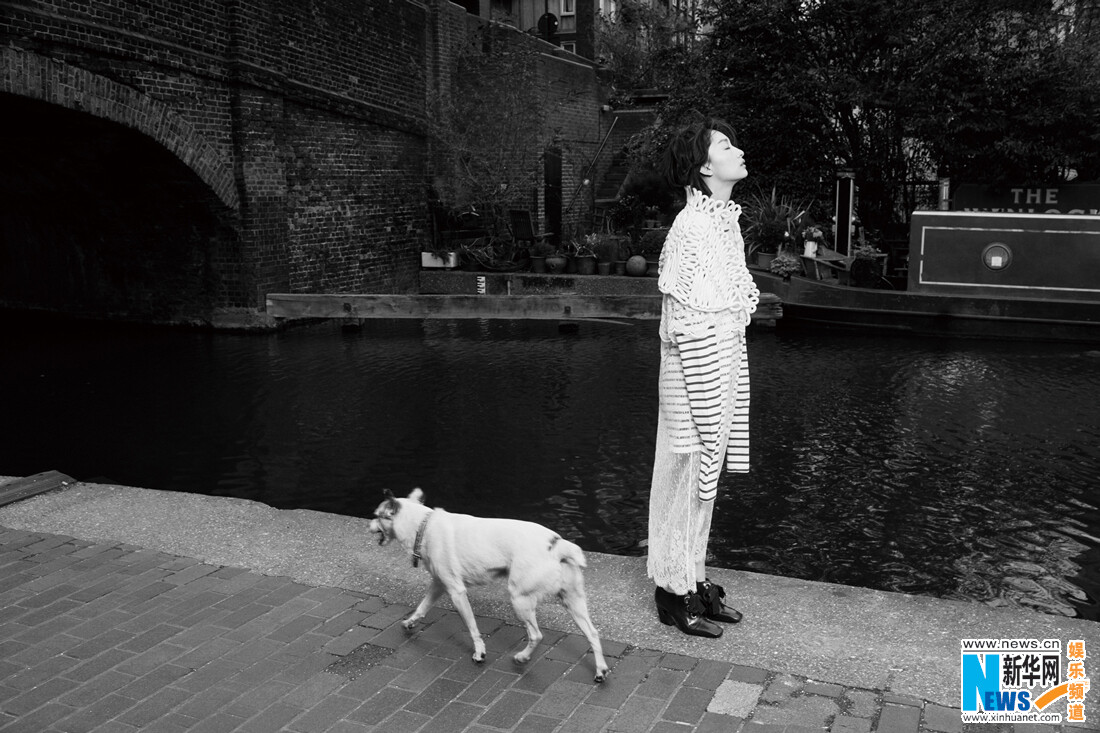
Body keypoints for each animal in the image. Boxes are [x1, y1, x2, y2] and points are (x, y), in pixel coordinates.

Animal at [368, 488, 609, 682]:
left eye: (376, 516)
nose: (367, 525)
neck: (422, 526)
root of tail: (557, 545)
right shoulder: (439, 584)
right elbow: (422, 606)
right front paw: (410, 622)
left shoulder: (456, 592)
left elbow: (472, 627)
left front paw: (479, 652)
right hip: (573, 602)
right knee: (592, 633)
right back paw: (600, 670)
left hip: (520, 599)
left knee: (536, 635)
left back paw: (522, 657)